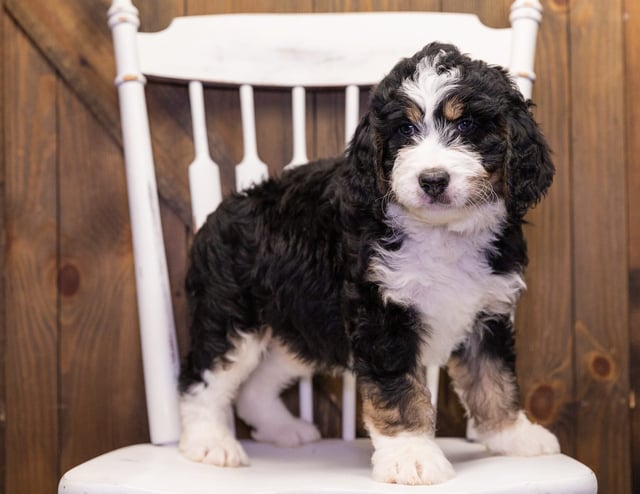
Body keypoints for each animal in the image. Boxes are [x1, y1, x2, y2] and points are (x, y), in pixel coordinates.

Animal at [179, 41, 560, 482]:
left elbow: (494, 379)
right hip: (230, 317)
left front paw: (512, 436)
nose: (433, 180)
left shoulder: (488, 313)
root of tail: (215, 214)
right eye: (406, 130)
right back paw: (210, 443)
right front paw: (412, 454)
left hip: (301, 325)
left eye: (466, 126)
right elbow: (399, 390)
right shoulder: (382, 314)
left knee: (257, 383)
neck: (441, 232)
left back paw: (281, 428)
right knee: (203, 377)